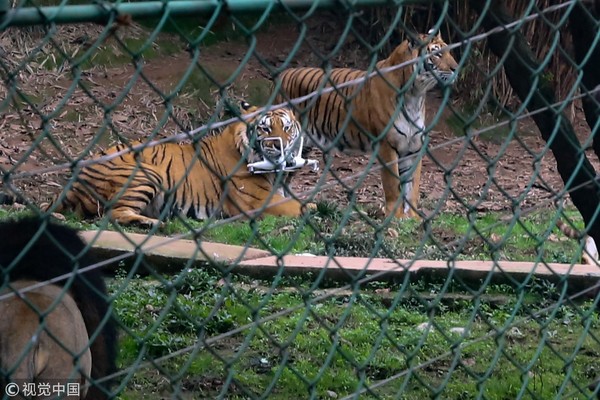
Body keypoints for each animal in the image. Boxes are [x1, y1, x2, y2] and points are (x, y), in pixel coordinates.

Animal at [44, 101, 312, 227]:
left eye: (287, 127)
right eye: (264, 128)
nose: (278, 145)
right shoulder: (258, 202)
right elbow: (300, 206)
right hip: (146, 173)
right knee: (114, 214)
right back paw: (154, 223)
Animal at [276, 30, 460, 219]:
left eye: (449, 51)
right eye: (437, 54)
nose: (456, 68)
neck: (415, 94)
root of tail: (283, 74)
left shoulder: (413, 147)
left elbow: (412, 187)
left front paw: (413, 218)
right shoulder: (387, 145)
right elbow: (393, 185)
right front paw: (396, 217)